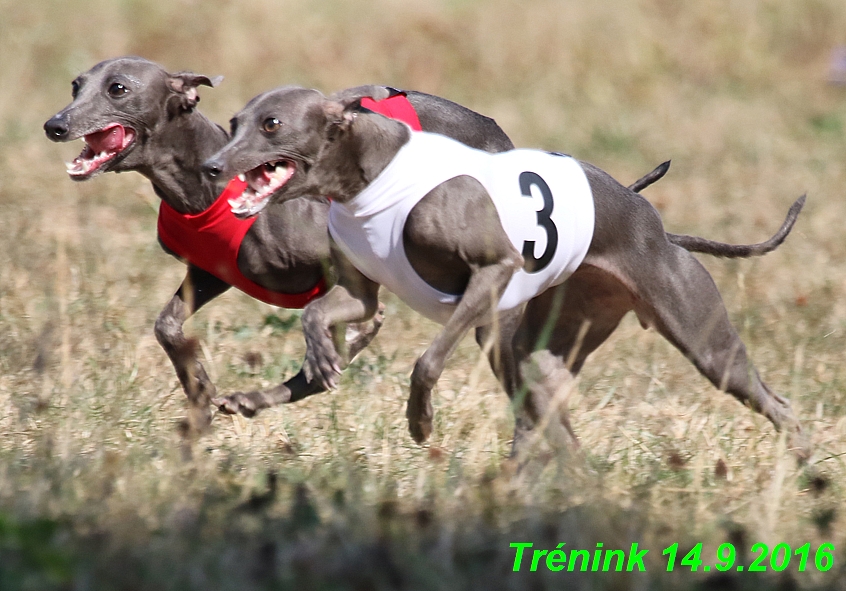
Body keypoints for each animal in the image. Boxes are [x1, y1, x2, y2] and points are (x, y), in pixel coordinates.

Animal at [202, 88, 812, 460]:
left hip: (703, 343)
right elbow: (318, 313)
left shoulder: (492, 273)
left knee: (775, 403)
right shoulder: (362, 295)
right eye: (232, 123)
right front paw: (320, 357)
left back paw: (806, 461)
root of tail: (662, 232)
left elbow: (426, 362)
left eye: (272, 124)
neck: (370, 170)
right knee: (556, 431)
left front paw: (420, 420)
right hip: (543, 353)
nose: (211, 167)